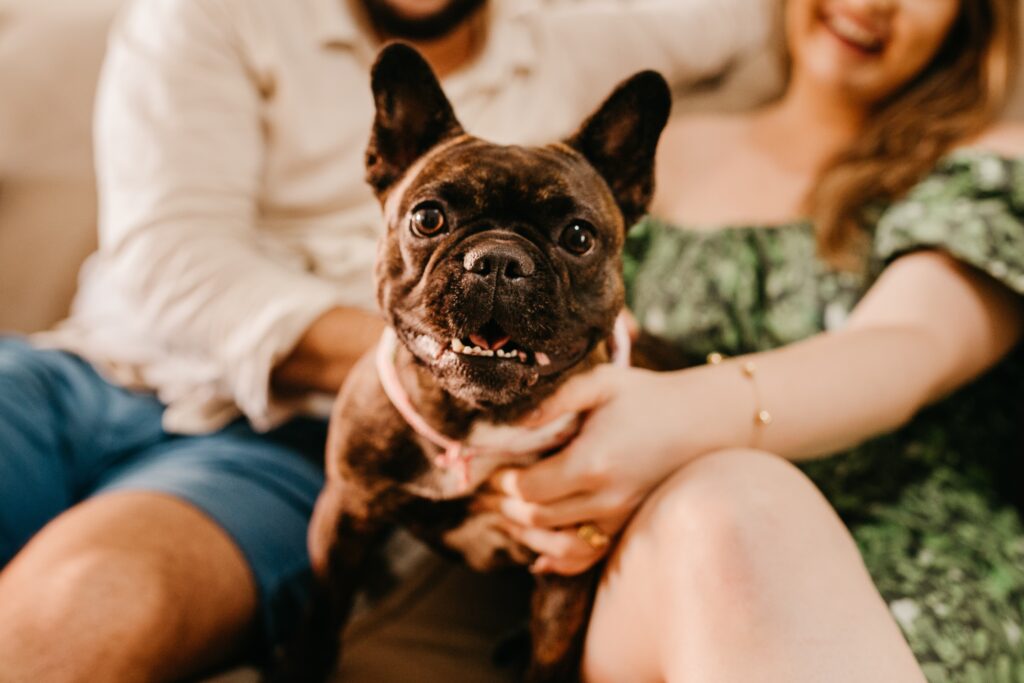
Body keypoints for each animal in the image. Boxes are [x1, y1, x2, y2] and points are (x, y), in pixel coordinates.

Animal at [272, 44, 671, 683]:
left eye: (579, 236)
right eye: (427, 218)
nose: (500, 260)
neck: (476, 418)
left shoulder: (566, 566)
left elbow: (552, 654)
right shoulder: (345, 515)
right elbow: (324, 613)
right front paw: (303, 661)